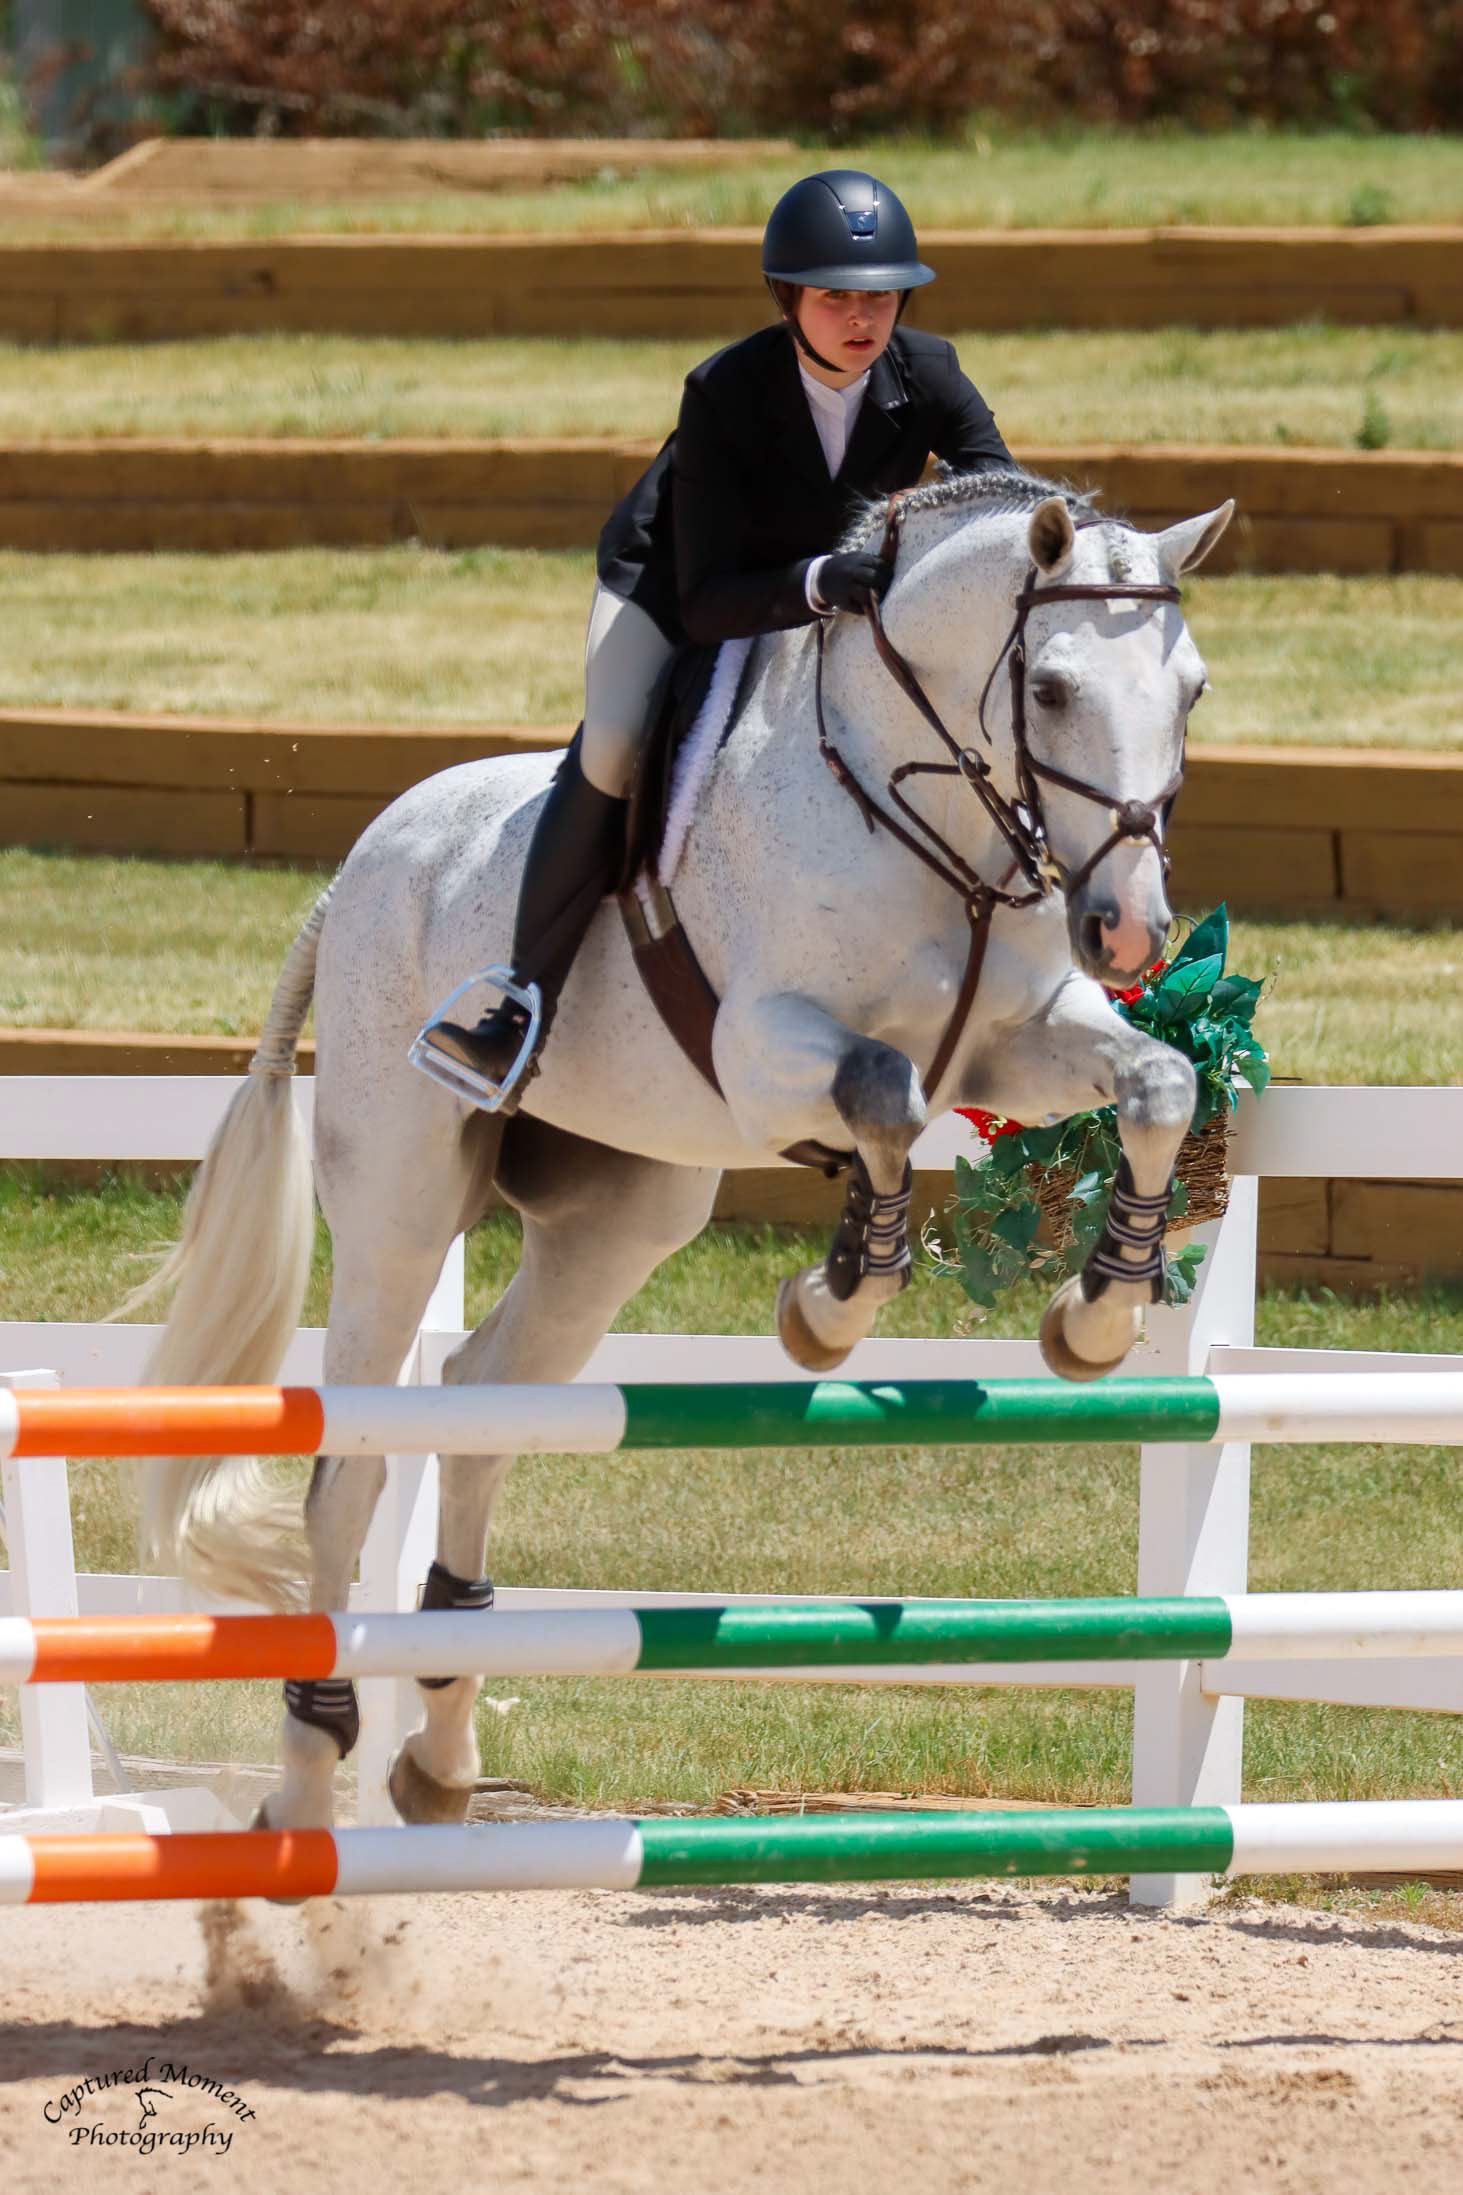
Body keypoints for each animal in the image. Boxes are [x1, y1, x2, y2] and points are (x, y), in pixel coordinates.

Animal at [132, 468, 1232, 1833]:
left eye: (1190, 689)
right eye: (1052, 690)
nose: (1127, 929)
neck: (924, 817)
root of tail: (354, 875)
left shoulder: (1010, 1047)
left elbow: (1157, 1083)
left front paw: (1094, 1313)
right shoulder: (766, 1052)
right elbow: (879, 1094)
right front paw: (829, 1303)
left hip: (619, 1218)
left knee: (480, 1400)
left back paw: (438, 1747)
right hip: (399, 1200)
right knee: (350, 1466)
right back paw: (307, 1767)